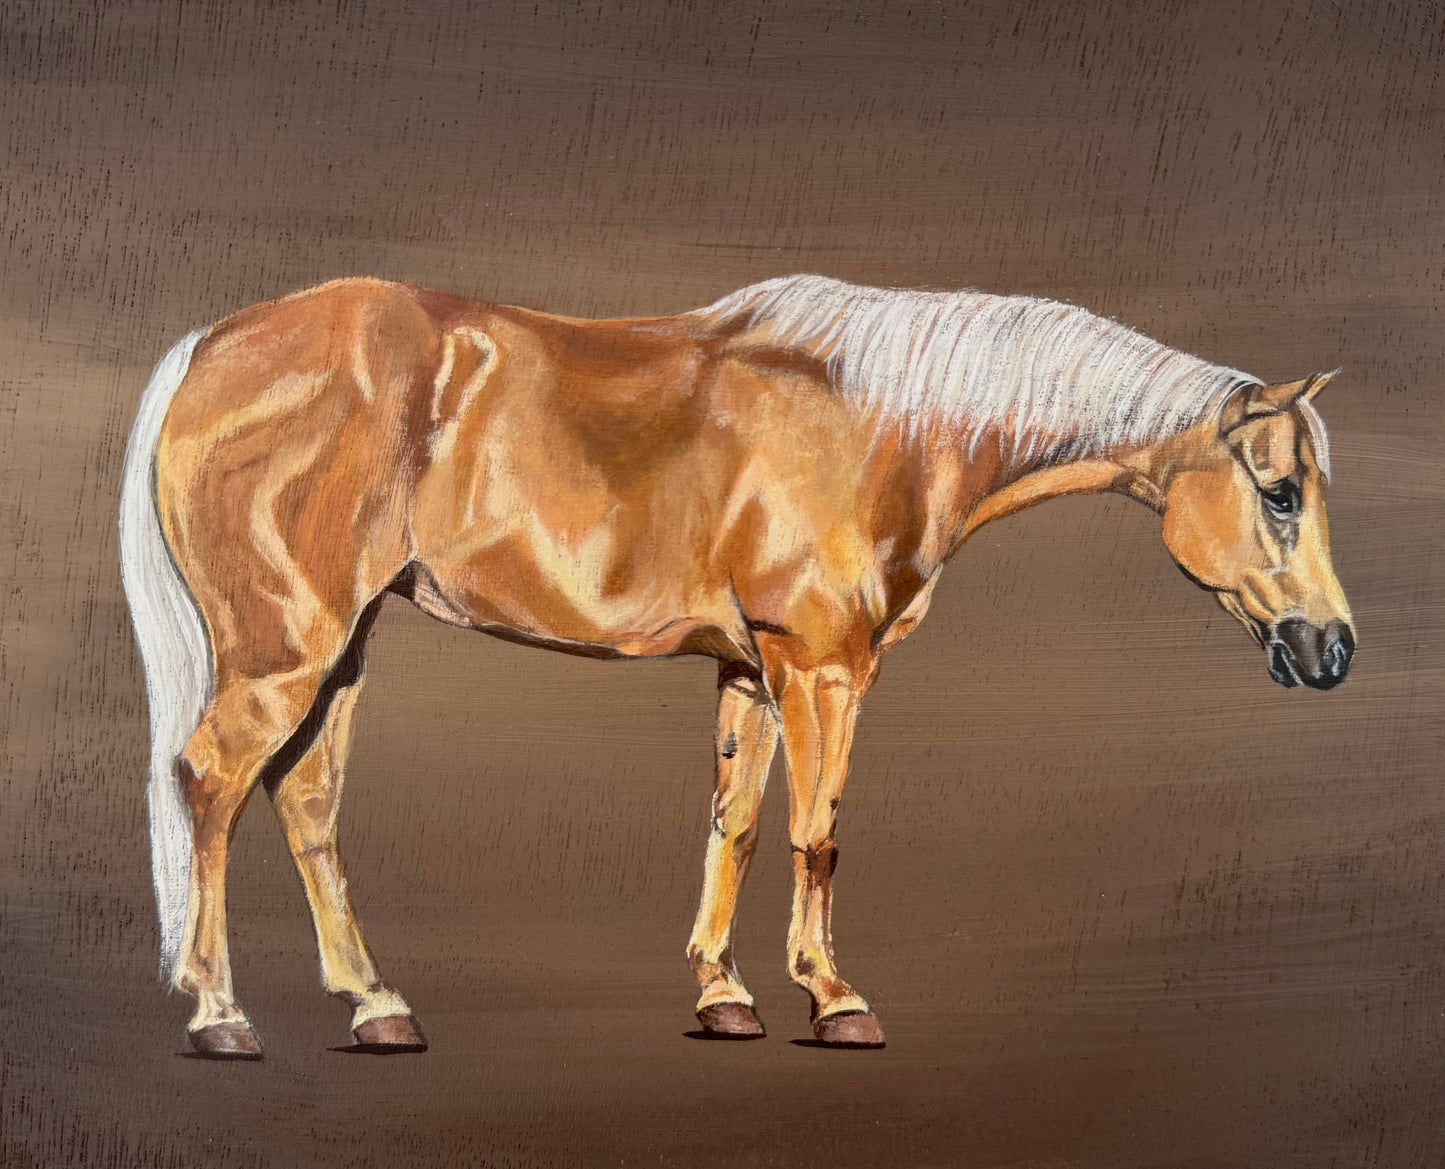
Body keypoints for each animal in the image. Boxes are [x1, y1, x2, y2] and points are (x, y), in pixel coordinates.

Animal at [118, 274, 1355, 1058]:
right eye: (1279, 491)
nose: (1332, 648)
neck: (880, 421)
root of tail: (208, 345)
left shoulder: (751, 673)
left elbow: (738, 826)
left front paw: (723, 992)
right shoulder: (822, 665)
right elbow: (817, 831)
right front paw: (834, 998)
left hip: (341, 646)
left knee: (305, 800)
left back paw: (375, 1004)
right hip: (289, 645)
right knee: (212, 782)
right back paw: (220, 1013)